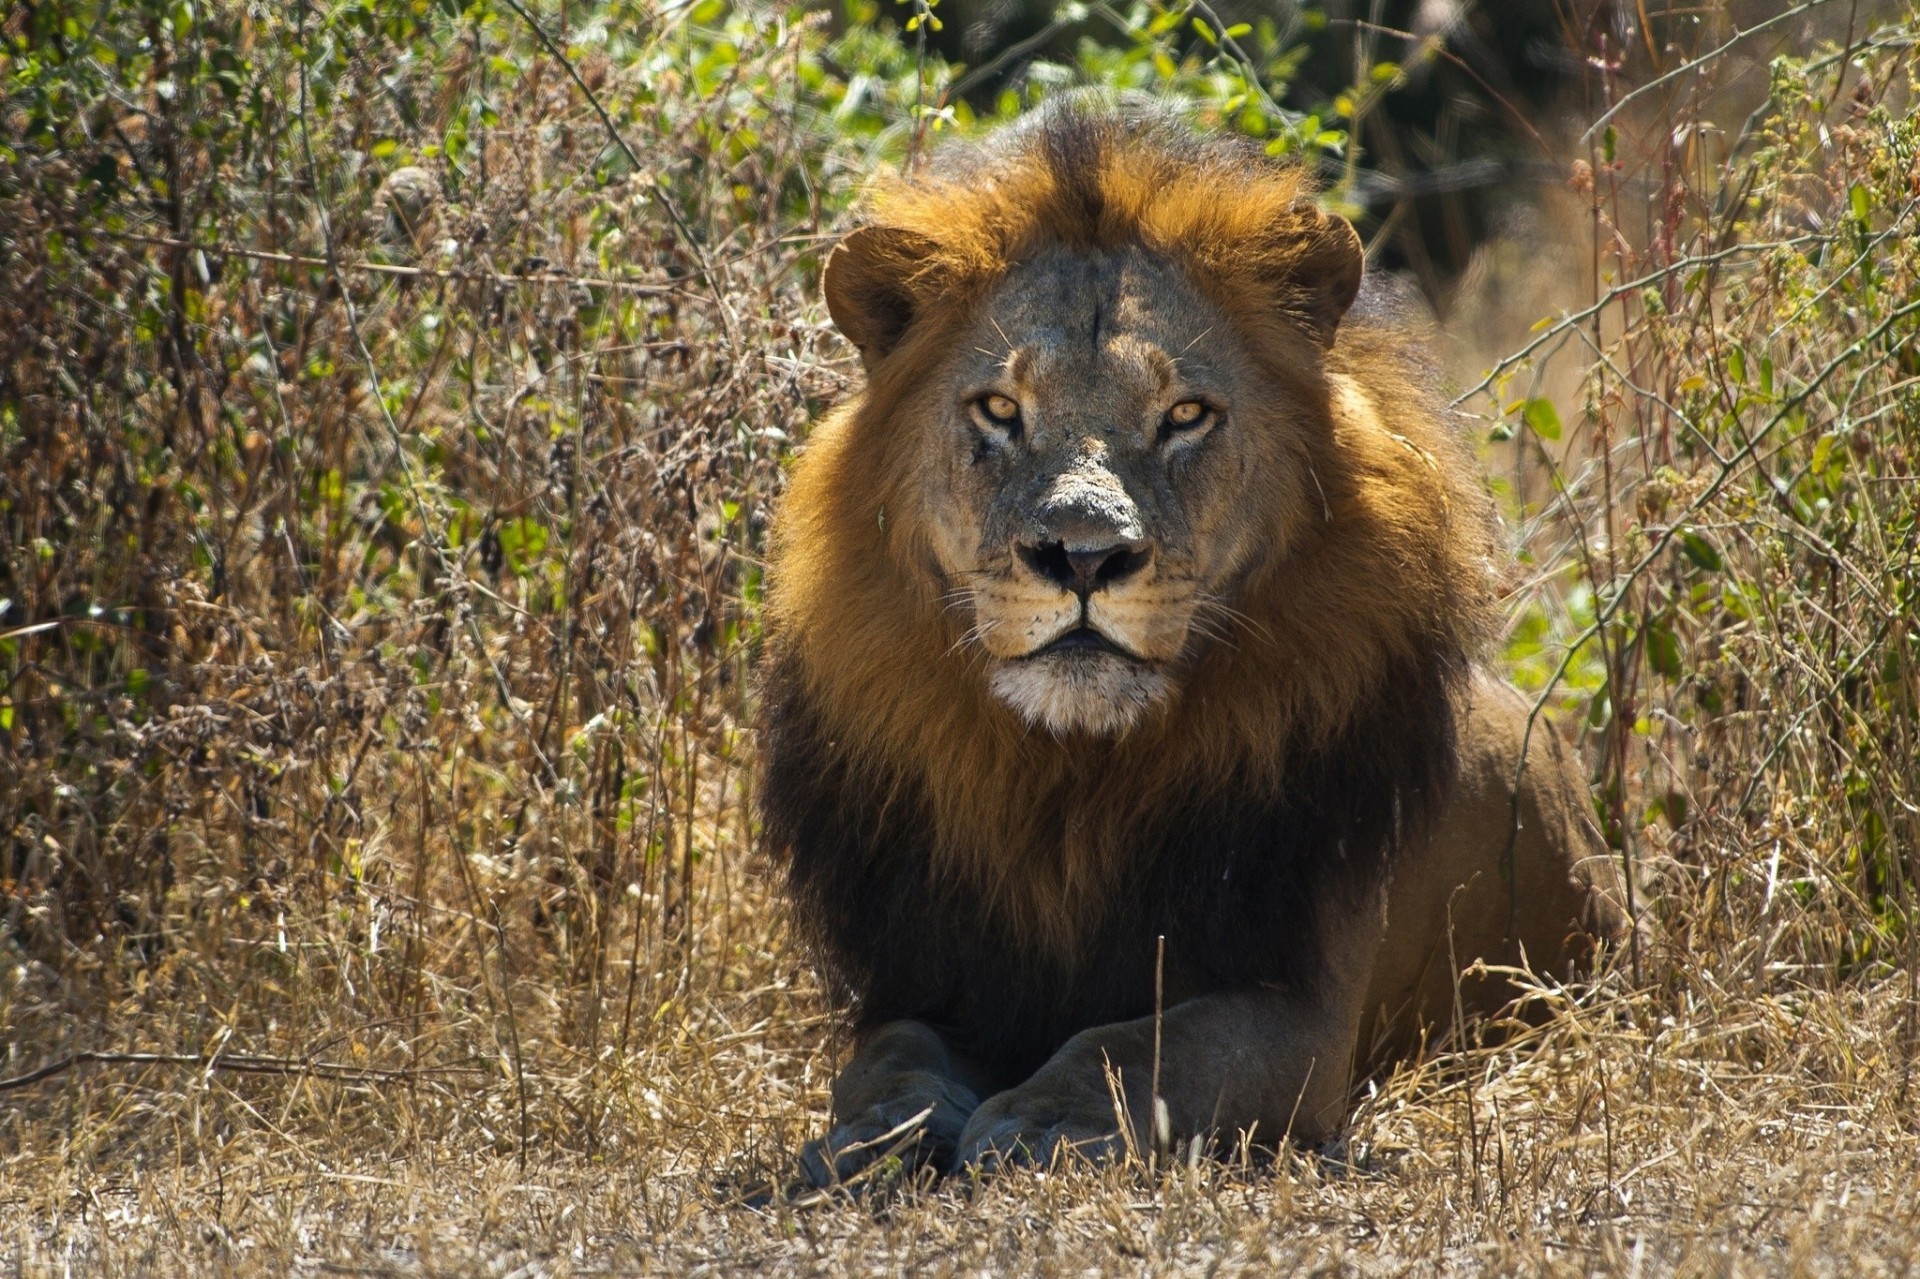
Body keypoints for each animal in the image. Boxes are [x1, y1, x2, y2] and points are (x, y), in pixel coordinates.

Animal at [756, 94, 1628, 1182]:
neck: (1066, 780)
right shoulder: (925, 976)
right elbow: (888, 1058)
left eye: (1184, 415)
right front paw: (876, 1134)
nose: (1083, 555)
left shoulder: (1301, 1012)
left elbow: (1145, 1044)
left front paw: (1039, 1120)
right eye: (999, 409)